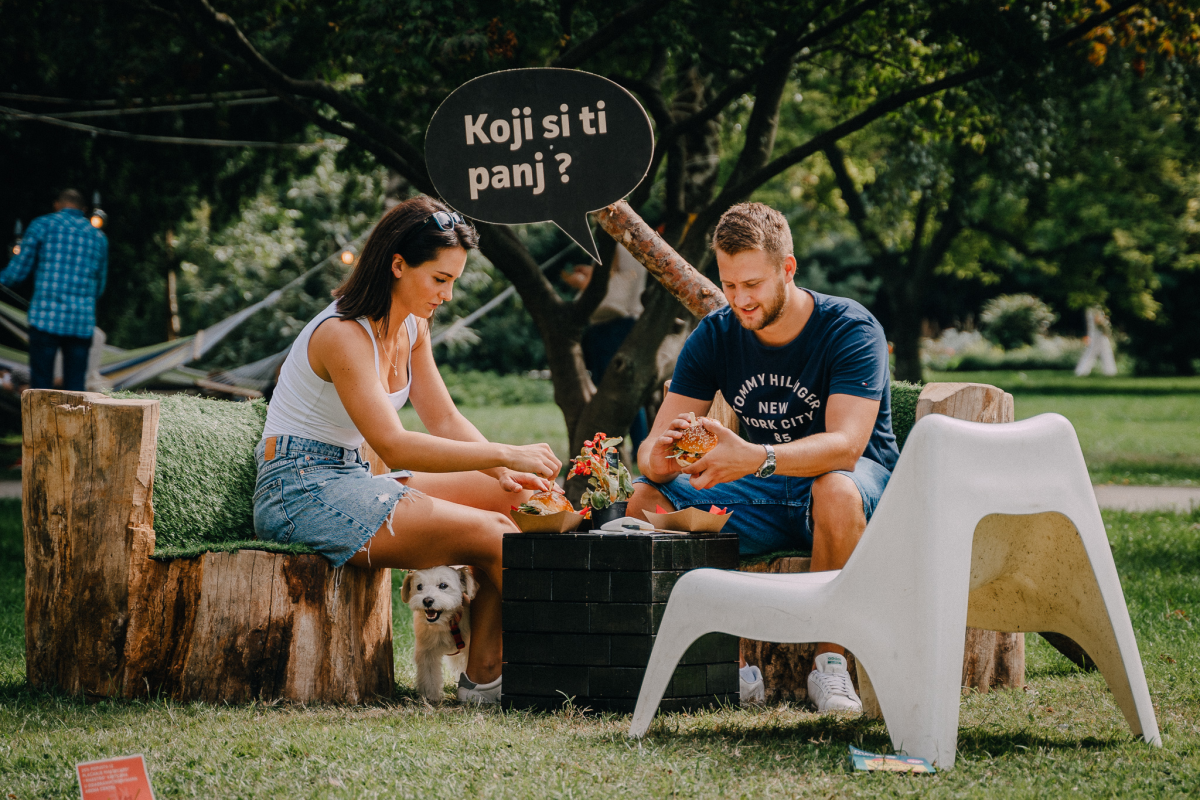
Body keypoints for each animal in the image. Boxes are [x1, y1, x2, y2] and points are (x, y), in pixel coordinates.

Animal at [403, 566, 477, 705]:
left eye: (443, 585)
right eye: (419, 586)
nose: (427, 600)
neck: (445, 623)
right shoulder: (427, 653)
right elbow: (429, 676)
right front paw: (430, 697)